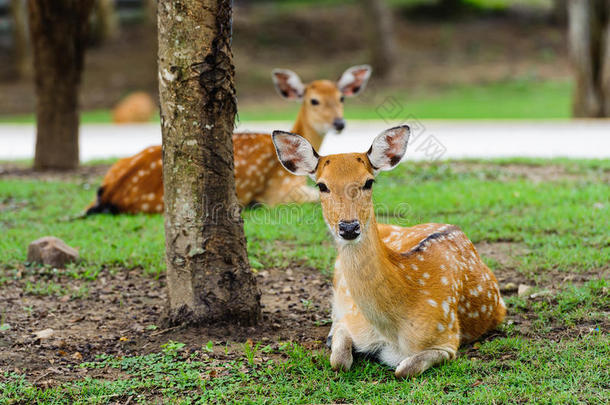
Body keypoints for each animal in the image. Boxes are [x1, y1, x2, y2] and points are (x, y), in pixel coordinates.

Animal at [270, 124, 504, 378]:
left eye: (368, 182)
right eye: (321, 185)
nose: (349, 227)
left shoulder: (448, 336)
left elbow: (404, 369)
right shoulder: (351, 319)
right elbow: (339, 360)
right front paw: (335, 342)